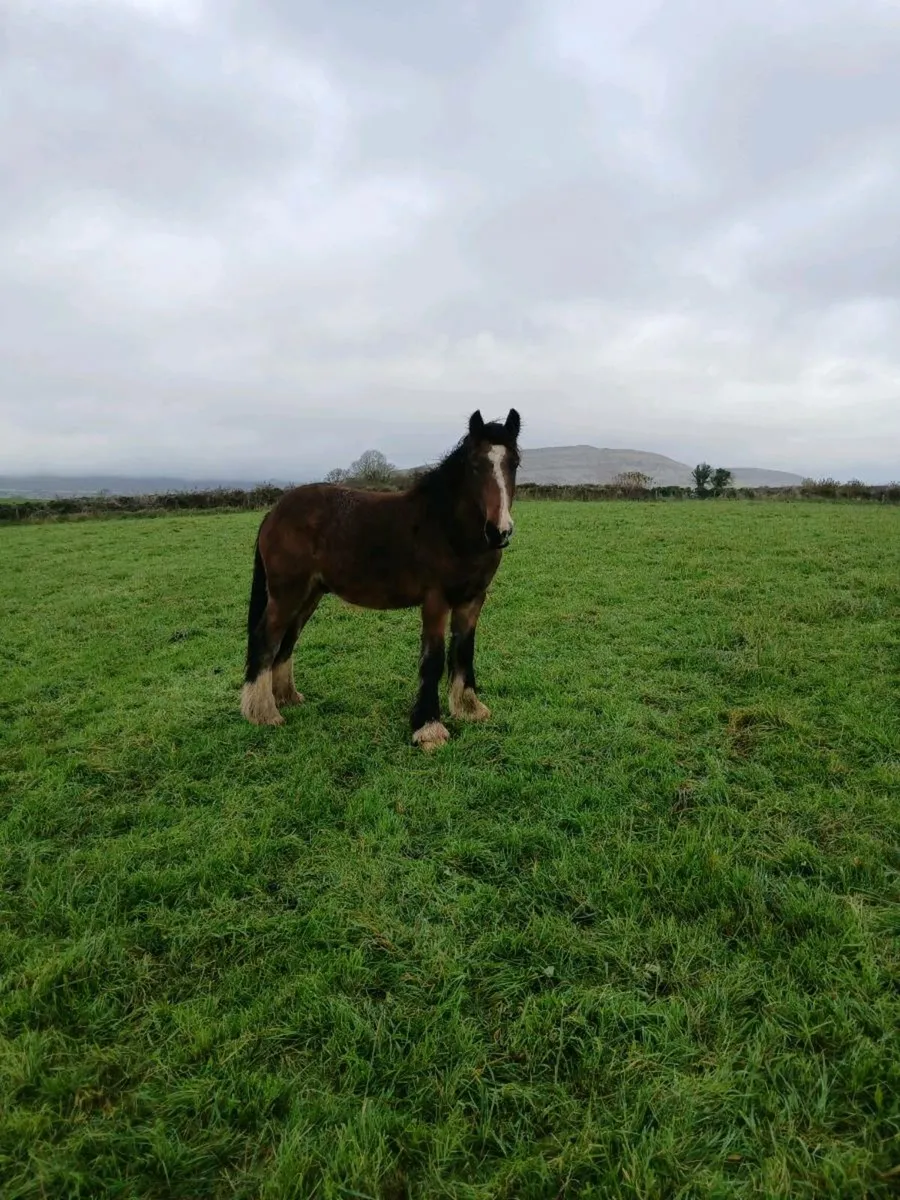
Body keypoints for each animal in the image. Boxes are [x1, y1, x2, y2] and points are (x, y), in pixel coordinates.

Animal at [240, 408, 522, 750]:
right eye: (476, 465)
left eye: (514, 462)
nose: (499, 531)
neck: (447, 527)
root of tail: (273, 513)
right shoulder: (435, 601)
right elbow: (433, 659)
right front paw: (428, 728)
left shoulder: (473, 599)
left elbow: (464, 651)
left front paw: (469, 708)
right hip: (286, 593)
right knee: (265, 638)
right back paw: (263, 713)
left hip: (310, 594)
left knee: (288, 639)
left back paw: (286, 698)